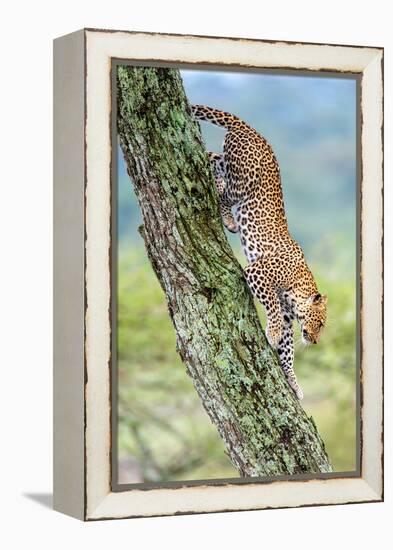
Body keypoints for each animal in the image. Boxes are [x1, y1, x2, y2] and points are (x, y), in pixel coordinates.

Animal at [191, 105, 326, 404]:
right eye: (321, 323)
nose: (315, 341)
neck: (299, 287)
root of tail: (252, 130)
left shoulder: (289, 316)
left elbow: (287, 350)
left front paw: (293, 383)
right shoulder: (258, 273)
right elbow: (273, 309)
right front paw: (272, 334)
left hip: (229, 161)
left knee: (211, 158)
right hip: (244, 180)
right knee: (223, 189)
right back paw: (228, 216)